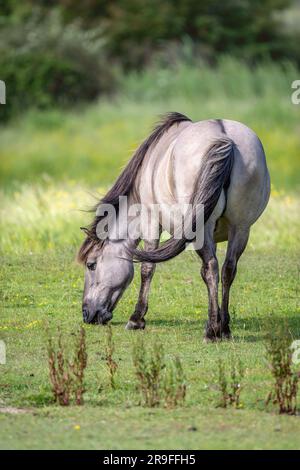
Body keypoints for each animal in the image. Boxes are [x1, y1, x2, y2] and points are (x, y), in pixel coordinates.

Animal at [78, 112, 270, 340]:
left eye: (91, 265)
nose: (87, 314)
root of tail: (226, 138)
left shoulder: (151, 221)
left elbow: (147, 268)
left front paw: (136, 319)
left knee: (211, 268)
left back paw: (212, 331)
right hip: (241, 228)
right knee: (227, 270)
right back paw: (223, 328)